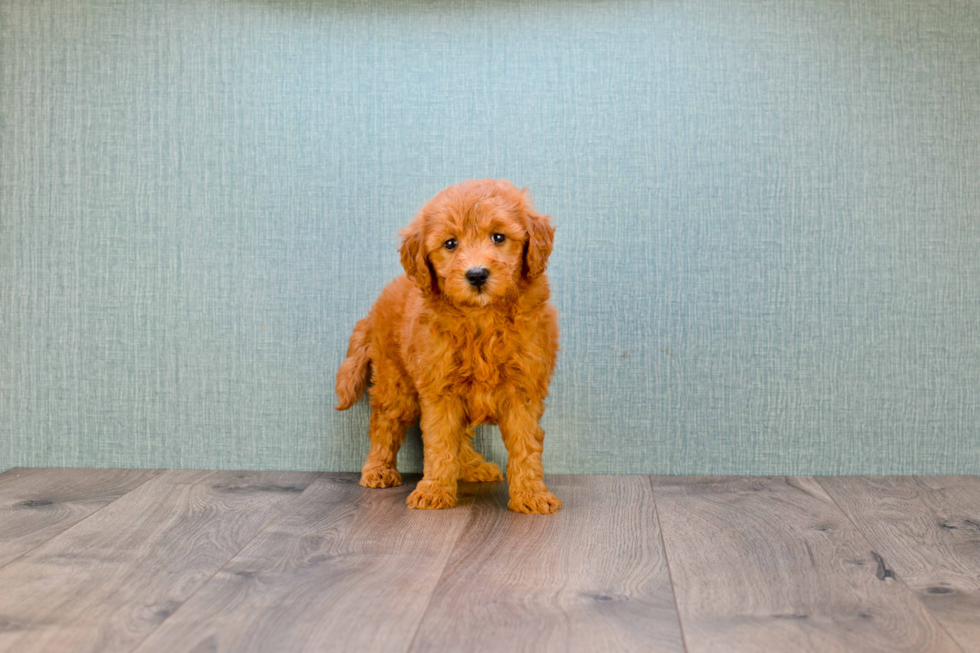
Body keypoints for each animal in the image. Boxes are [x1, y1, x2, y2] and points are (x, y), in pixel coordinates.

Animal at [336, 180, 564, 516]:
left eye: (499, 237)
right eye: (450, 244)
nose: (477, 274)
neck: (482, 317)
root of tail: (377, 304)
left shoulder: (523, 389)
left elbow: (526, 446)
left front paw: (531, 494)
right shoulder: (439, 387)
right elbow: (440, 441)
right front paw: (433, 490)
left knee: (462, 434)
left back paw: (471, 467)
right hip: (396, 383)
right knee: (384, 424)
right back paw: (378, 469)